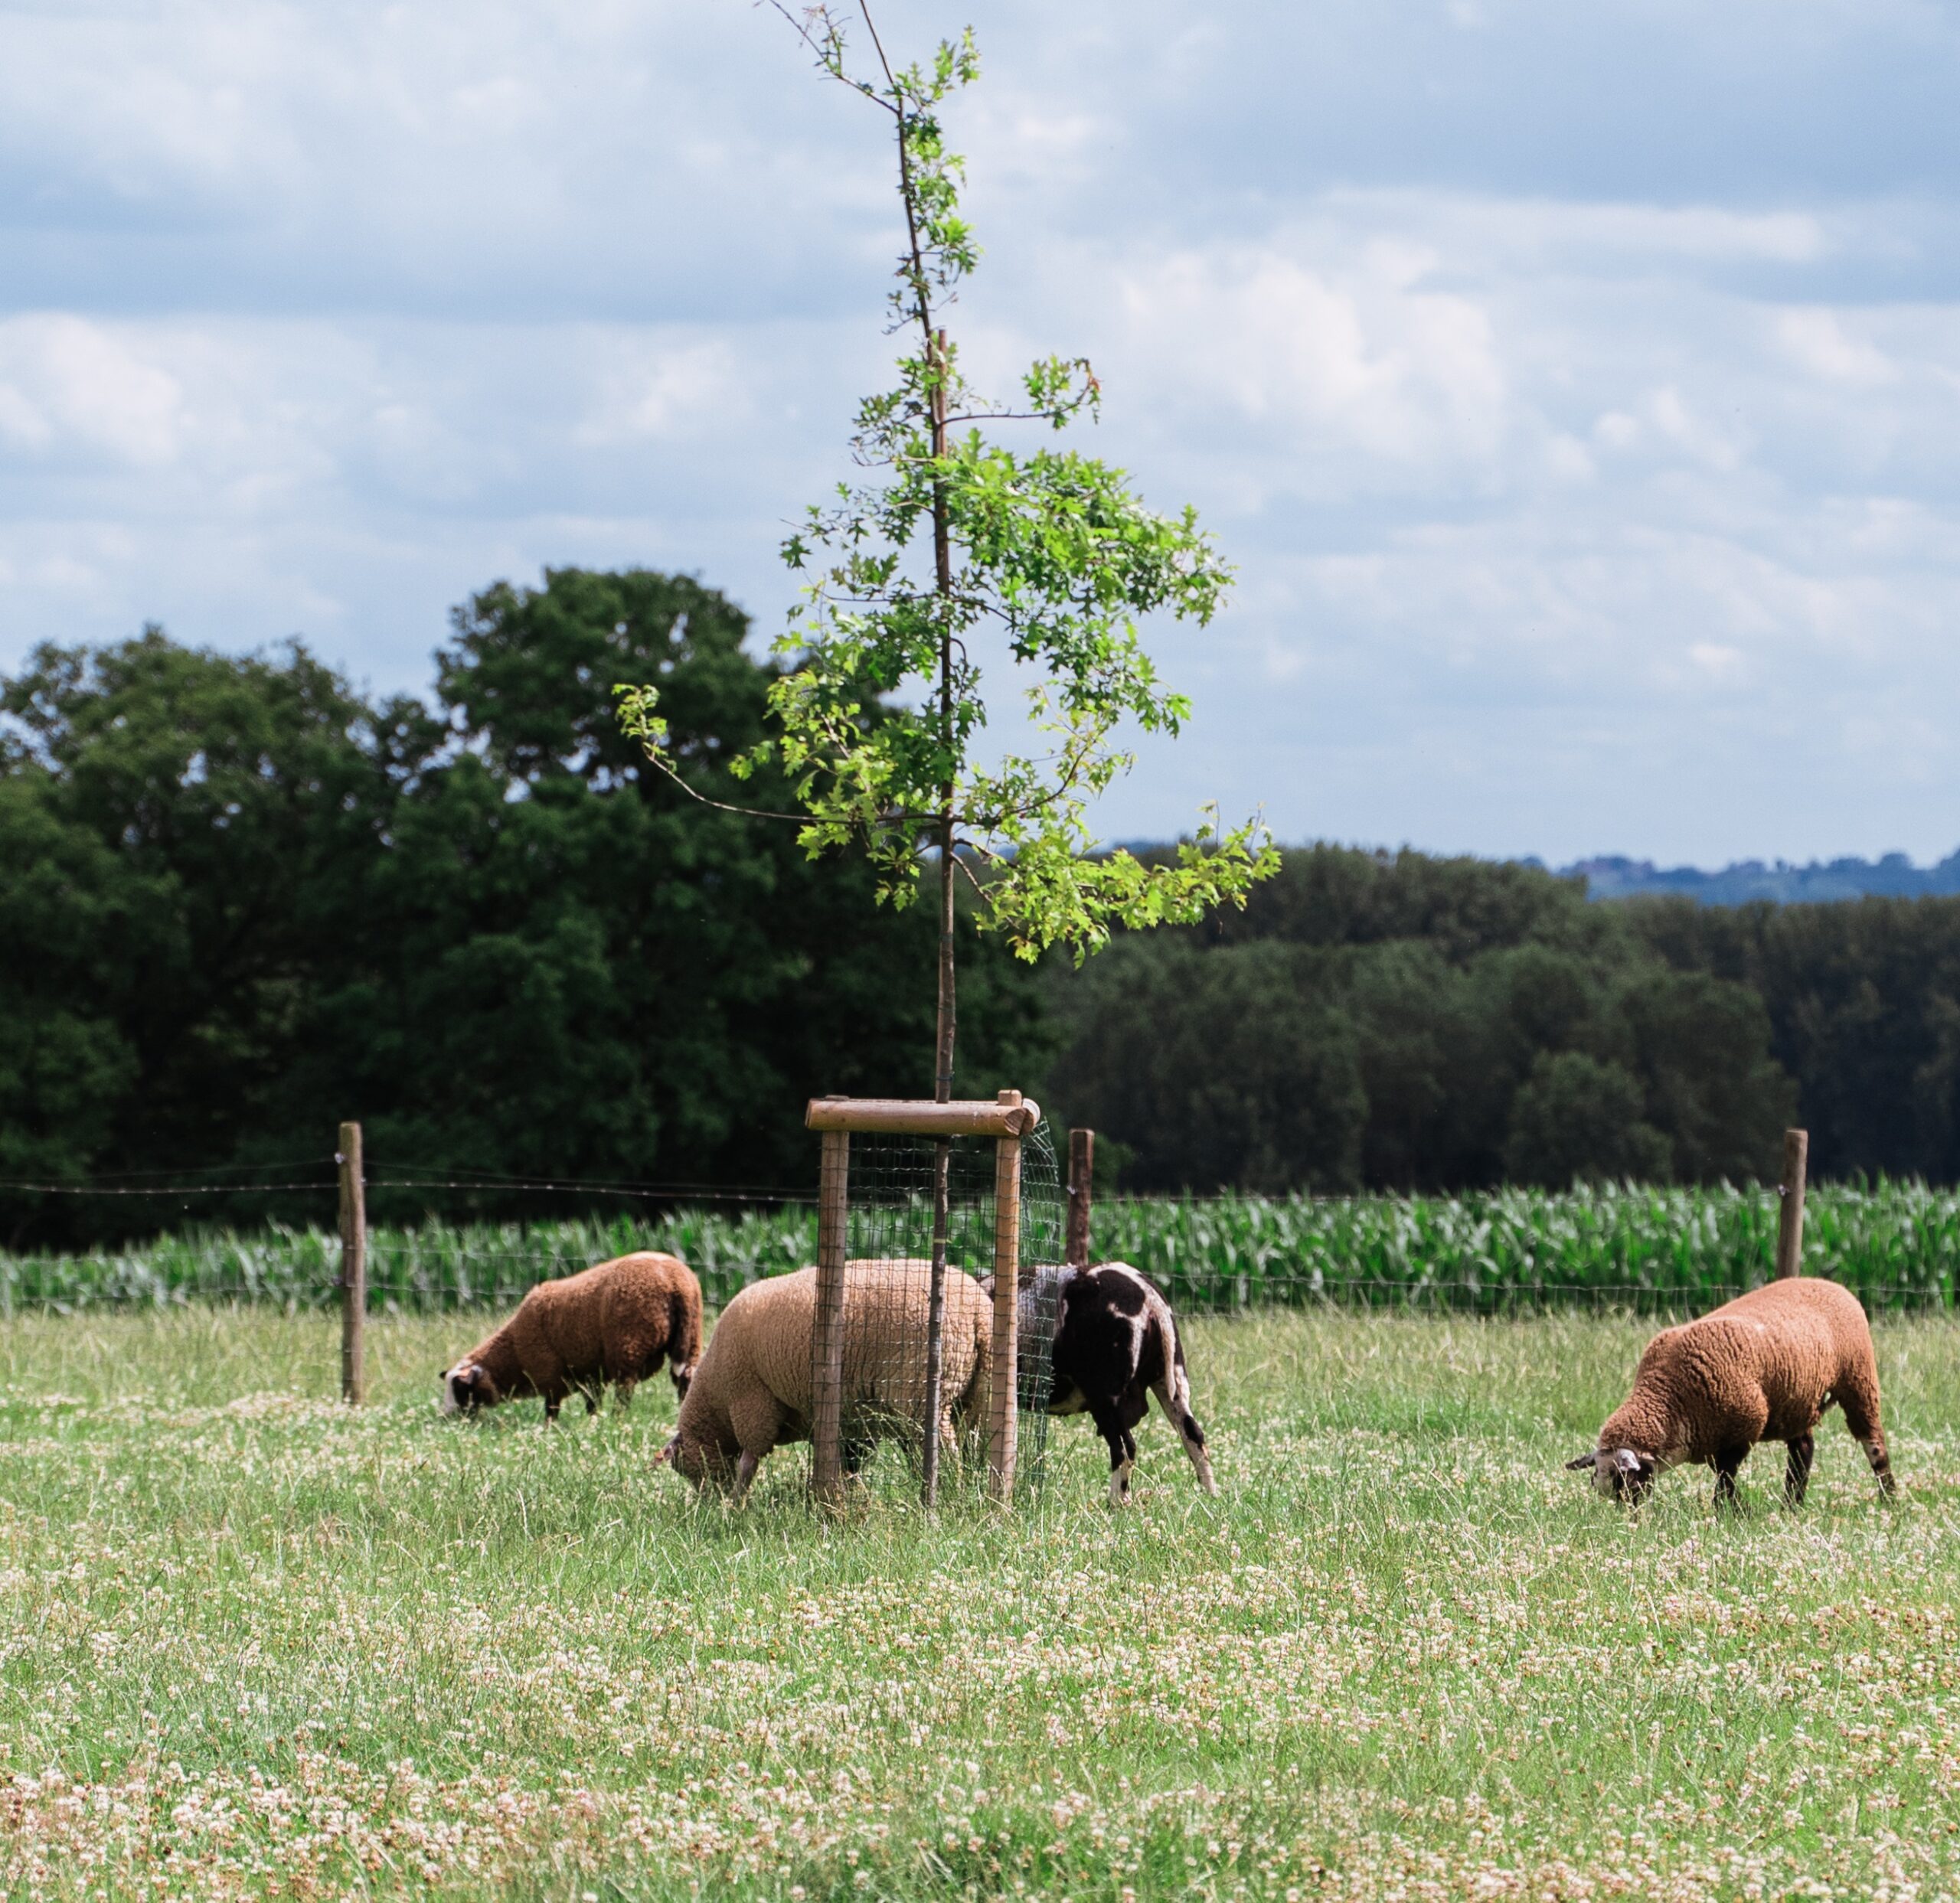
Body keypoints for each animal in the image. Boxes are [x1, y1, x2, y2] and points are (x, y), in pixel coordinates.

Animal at [441, 1254, 701, 1418]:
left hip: (630, 1343)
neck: (513, 1351)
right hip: (690, 1339)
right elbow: (592, 1401)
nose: (448, 1417)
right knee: (685, 1378)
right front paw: (592, 1420)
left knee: (626, 1387)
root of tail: (676, 1281)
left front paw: (551, 1428)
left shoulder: (550, 1371)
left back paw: (618, 1418)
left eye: (460, 1390)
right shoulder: (589, 1372)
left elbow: (552, 1406)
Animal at [658, 1254, 995, 1513]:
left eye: (685, 1468)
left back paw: (947, 1491)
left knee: (943, 1450)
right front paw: (848, 1498)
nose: (707, 1503)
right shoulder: (848, 1424)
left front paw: (736, 1504)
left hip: (920, 1395)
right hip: (975, 1396)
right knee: (967, 1445)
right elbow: (848, 1465)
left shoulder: (752, 1403)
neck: (715, 1402)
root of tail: (977, 1311)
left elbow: (749, 1461)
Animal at [1560, 1285, 1897, 1513]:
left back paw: (1890, 1498)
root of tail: (1835, 1287)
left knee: (1873, 1444)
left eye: (1623, 1481)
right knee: (1803, 1449)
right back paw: (1792, 1504)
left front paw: (1729, 1511)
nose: (1627, 1518)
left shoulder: (1743, 1428)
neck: (1669, 1399)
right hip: (1797, 1401)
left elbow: (1726, 1477)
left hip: (1858, 1380)